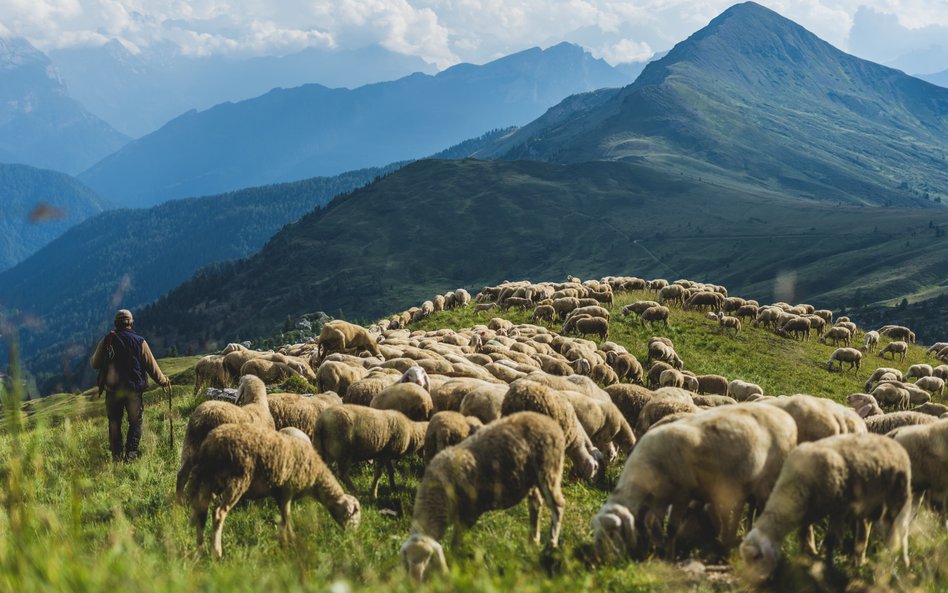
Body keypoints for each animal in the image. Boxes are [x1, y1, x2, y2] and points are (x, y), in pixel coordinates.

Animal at [187, 424, 362, 556]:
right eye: (354, 515)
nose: (352, 537)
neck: (316, 478)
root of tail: (210, 445)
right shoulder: (287, 490)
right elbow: (287, 517)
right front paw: (292, 541)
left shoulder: (279, 494)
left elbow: (283, 518)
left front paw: (284, 541)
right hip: (237, 480)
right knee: (218, 513)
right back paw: (217, 552)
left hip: (209, 480)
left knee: (201, 511)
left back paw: (199, 549)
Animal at [398, 412, 564, 580]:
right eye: (408, 560)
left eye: (427, 559)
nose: (414, 581)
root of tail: (546, 420)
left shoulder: (469, 513)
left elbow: (456, 542)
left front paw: (454, 561)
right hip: (532, 479)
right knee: (535, 504)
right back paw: (533, 541)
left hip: (549, 469)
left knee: (557, 506)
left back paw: (551, 544)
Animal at [596, 404, 796, 556]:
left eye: (612, 532)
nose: (600, 558)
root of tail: (787, 417)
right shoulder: (660, 498)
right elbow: (651, 523)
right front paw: (651, 546)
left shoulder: (682, 494)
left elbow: (671, 528)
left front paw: (668, 555)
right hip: (745, 485)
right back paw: (730, 539)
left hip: (769, 482)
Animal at [740, 430, 912, 584]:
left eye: (756, 557)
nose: (751, 582)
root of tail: (893, 442)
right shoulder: (809, 511)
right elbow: (803, 535)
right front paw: (801, 558)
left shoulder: (839, 509)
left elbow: (830, 541)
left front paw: (828, 568)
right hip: (868, 503)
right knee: (865, 528)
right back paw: (860, 560)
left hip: (897, 500)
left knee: (899, 533)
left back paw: (897, 563)